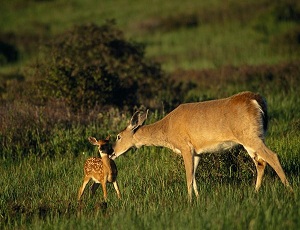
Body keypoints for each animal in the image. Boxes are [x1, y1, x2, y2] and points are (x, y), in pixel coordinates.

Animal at [112, 90, 290, 202]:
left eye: (118, 136)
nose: (112, 152)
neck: (168, 129)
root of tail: (257, 100)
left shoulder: (185, 147)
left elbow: (188, 176)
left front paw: (189, 201)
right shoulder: (197, 152)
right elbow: (194, 176)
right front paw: (197, 199)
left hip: (250, 136)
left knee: (272, 156)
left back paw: (290, 191)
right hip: (253, 137)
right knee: (261, 162)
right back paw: (255, 192)